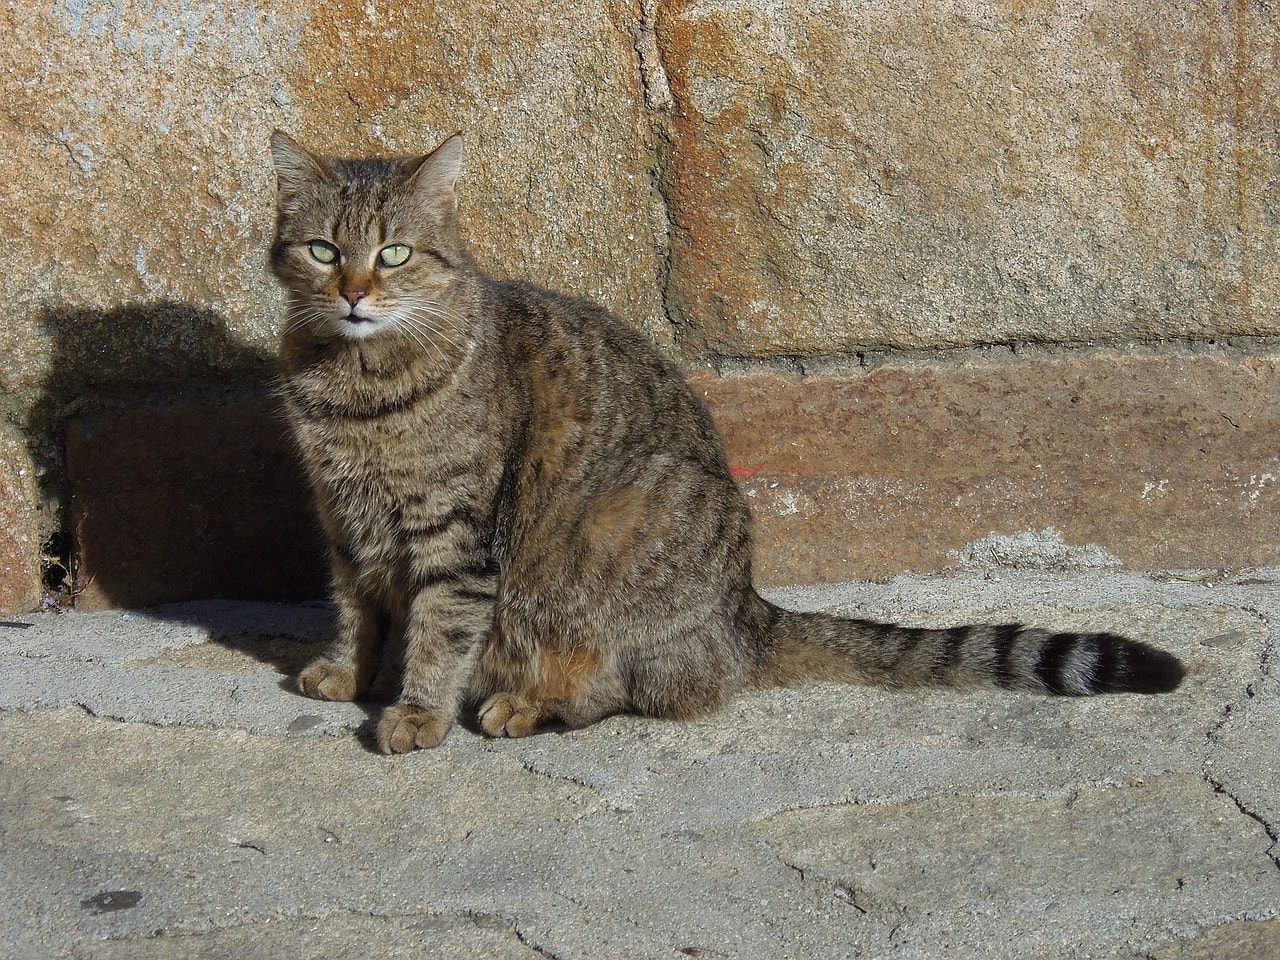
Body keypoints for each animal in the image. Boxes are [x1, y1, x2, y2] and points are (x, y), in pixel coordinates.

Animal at [270, 129, 1187, 757]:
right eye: (323, 250)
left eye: (394, 253)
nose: (353, 293)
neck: (353, 387)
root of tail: (748, 607)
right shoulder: (341, 522)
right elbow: (356, 609)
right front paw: (348, 672)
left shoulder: (454, 536)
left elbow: (437, 629)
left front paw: (416, 712)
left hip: (618, 540)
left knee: (628, 687)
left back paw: (526, 703)